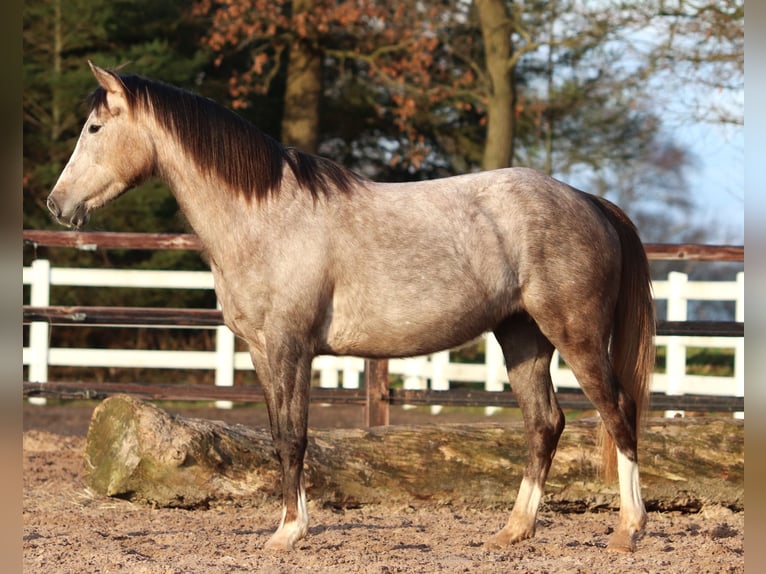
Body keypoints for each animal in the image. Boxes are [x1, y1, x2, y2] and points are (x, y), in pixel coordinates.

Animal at [48, 62, 656, 552]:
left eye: (94, 128)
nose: (57, 205)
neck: (266, 216)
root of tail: (588, 201)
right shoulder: (263, 352)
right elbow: (280, 435)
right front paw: (290, 526)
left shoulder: (291, 348)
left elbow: (294, 437)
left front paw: (289, 533)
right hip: (523, 336)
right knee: (544, 424)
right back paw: (514, 530)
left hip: (575, 334)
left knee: (618, 412)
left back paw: (628, 530)